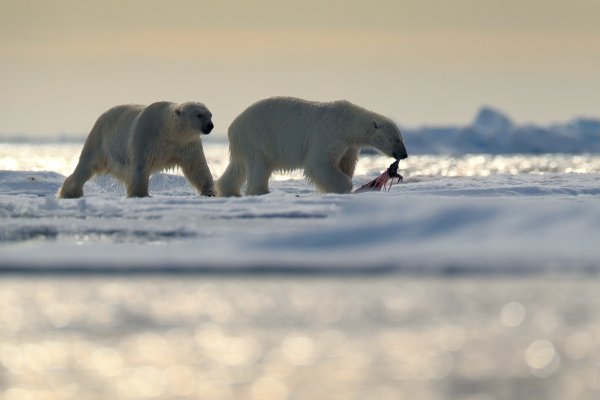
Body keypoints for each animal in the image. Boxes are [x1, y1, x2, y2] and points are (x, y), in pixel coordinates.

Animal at [58, 101, 217, 198]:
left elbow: (197, 167)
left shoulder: (187, 144)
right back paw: (70, 192)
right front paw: (140, 194)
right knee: (87, 165)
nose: (210, 125)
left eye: (210, 114)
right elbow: (140, 167)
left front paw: (210, 192)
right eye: (199, 114)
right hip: (100, 140)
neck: (168, 131)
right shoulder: (146, 137)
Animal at [216, 97, 408, 197]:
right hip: (257, 138)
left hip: (245, 143)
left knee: (238, 167)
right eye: (394, 139)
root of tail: (232, 126)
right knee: (259, 166)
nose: (404, 155)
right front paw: (343, 188)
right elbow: (319, 163)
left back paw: (230, 191)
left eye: (401, 138)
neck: (348, 123)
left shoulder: (348, 145)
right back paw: (260, 192)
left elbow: (345, 163)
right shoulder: (330, 135)